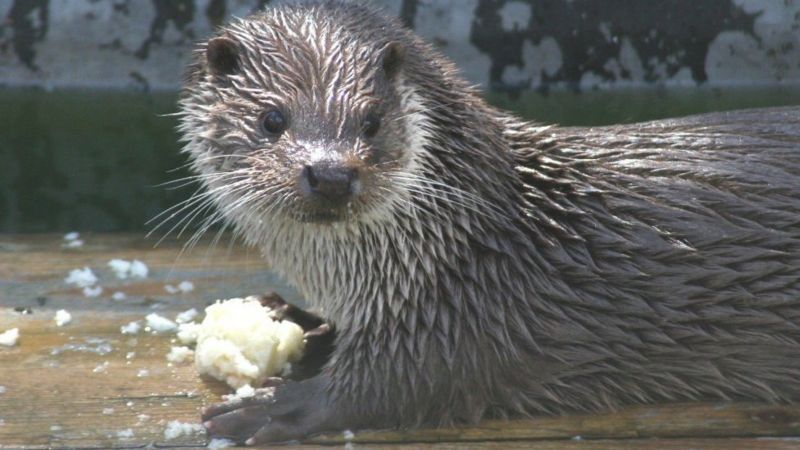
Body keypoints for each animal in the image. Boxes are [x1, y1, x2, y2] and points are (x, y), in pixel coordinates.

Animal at [178, 0, 800, 444]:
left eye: (371, 121)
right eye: (271, 118)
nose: (330, 173)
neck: (463, 241)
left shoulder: (467, 314)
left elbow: (391, 386)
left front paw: (277, 405)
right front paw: (296, 321)